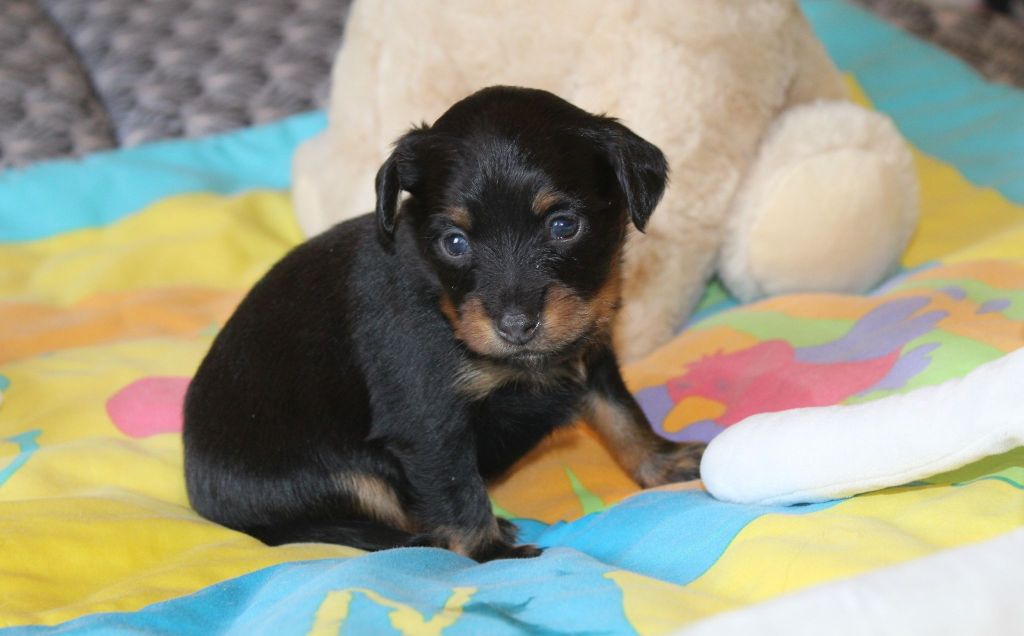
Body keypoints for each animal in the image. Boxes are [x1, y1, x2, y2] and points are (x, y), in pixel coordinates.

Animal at [184, 86, 705, 562]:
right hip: (351, 479)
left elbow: (623, 415)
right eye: (454, 242)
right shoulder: (427, 419)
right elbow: (456, 489)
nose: (516, 326)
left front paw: (665, 462)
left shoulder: (591, 356)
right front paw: (493, 553)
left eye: (563, 226)